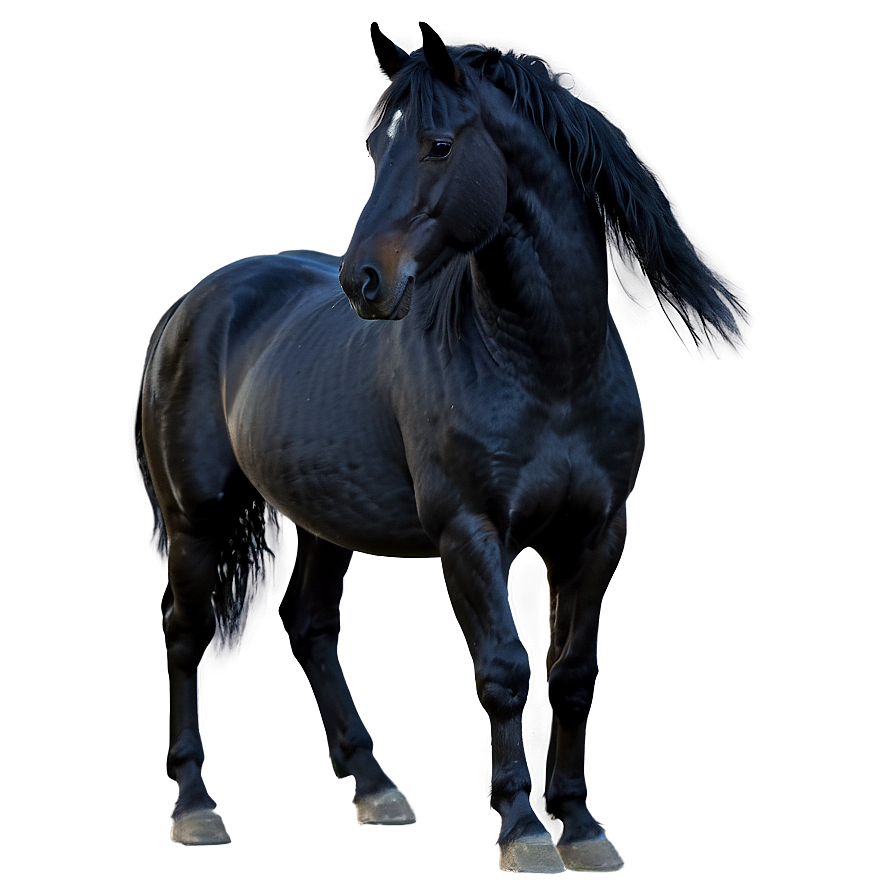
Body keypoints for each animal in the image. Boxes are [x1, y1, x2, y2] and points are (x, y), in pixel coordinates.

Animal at [136, 22, 743, 874]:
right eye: (373, 145)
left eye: (438, 144)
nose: (364, 281)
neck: (549, 369)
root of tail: (200, 299)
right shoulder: (470, 535)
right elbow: (505, 671)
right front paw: (524, 831)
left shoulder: (597, 536)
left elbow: (574, 676)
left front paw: (582, 826)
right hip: (195, 514)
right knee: (183, 632)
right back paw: (196, 807)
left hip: (326, 520)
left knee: (310, 625)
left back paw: (374, 788)